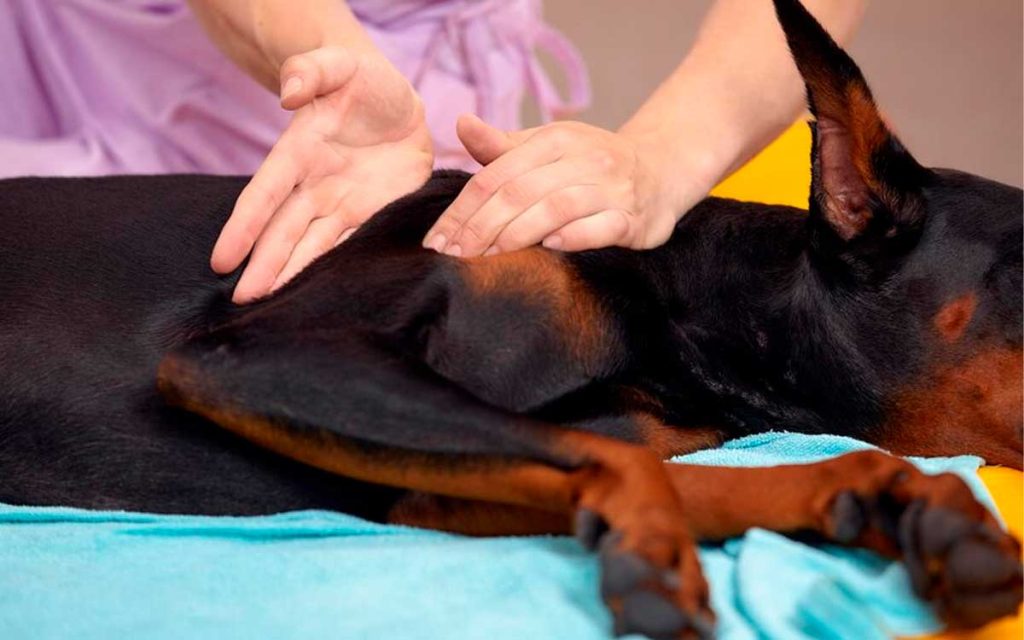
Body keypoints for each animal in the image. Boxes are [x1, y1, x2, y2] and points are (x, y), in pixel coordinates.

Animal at [2, 1, 1024, 638]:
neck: (674, 307)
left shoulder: (426, 488)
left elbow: (676, 472)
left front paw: (915, 508)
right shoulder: (260, 356)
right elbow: (629, 469)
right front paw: (652, 559)